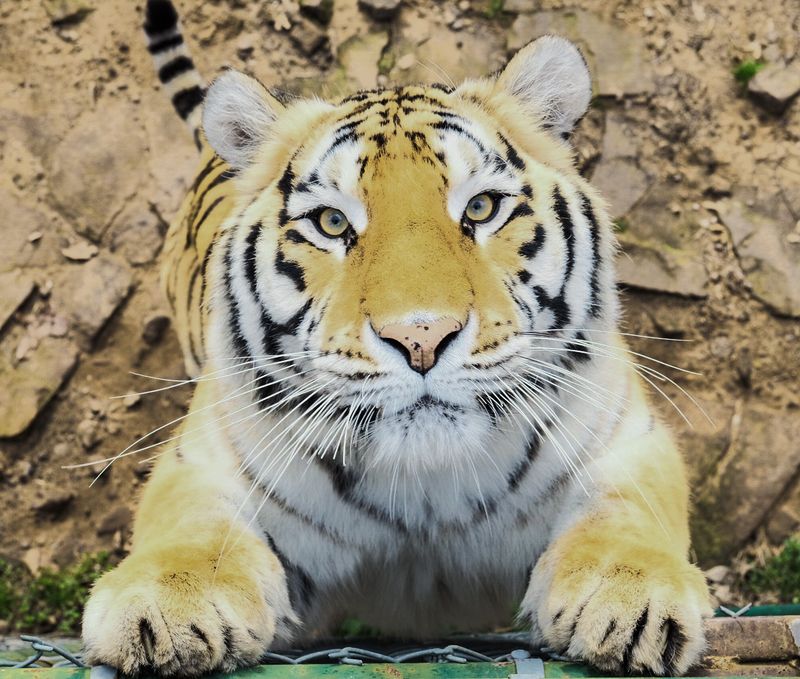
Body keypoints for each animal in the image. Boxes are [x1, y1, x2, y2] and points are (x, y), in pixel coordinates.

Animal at [81, 0, 712, 676]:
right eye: (332, 222)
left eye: (482, 208)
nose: (421, 337)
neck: (426, 487)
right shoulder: (207, 461)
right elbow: (195, 531)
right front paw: (166, 607)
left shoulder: (624, 440)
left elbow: (624, 514)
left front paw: (631, 598)